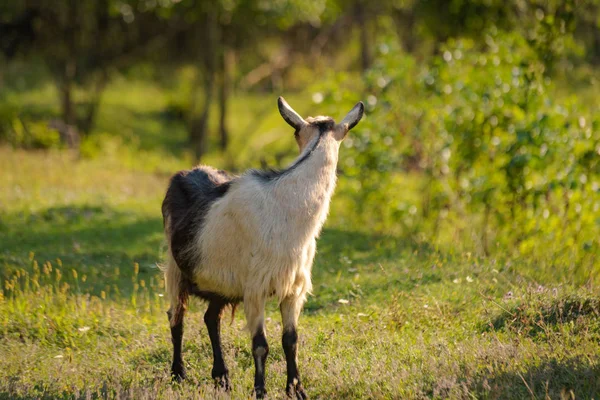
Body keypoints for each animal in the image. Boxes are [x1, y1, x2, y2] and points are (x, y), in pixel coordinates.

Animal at [159, 96, 364, 396]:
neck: (289, 207)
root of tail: (185, 173)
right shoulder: (255, 288)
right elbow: (260, 345)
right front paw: (260, 391)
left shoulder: (294, 288)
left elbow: (291, 340)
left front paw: (296, 389)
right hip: (176, 268)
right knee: (177, 317)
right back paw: (178, 374)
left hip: (220, 281)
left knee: (211, 318)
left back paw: (222, 377)